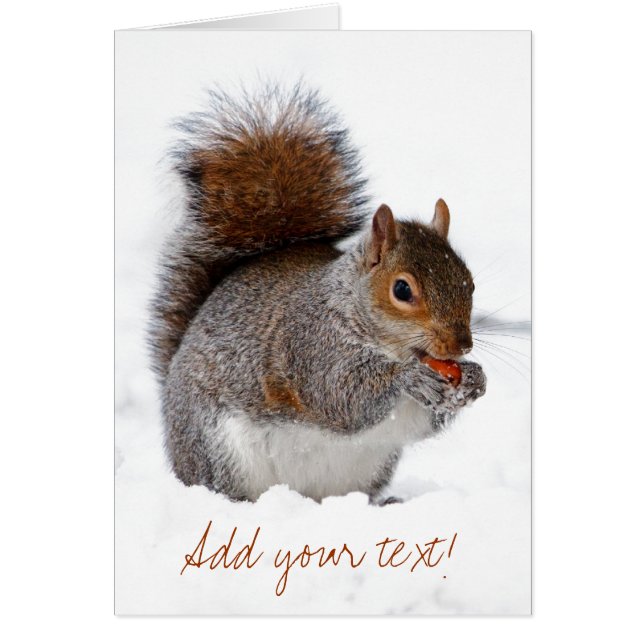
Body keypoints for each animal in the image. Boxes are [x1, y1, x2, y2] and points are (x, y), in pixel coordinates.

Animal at [149, 84, 486, 504]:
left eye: (469, 281)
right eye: (402, 289)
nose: (461, 346)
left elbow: (422, 422)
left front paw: (474, 379)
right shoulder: (311, 345)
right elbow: (341, 396)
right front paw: (409, 378)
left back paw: (383, 503)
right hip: (219, 450)